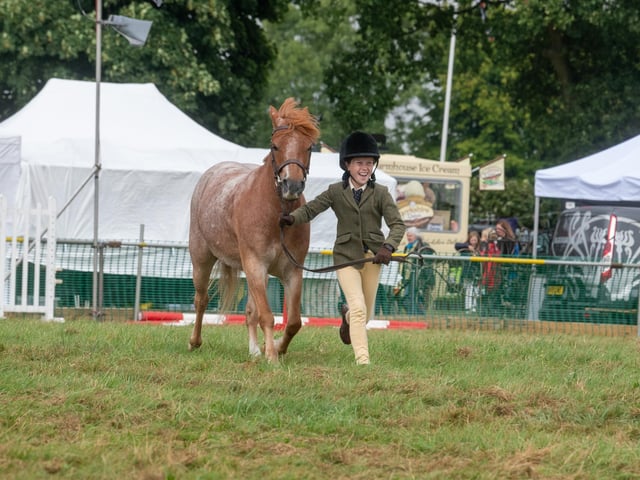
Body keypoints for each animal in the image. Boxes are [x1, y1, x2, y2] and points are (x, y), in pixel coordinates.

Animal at [188, 98, 320, 362]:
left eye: (309, 147)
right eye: (275, 146)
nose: (292, 185)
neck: (277, 216)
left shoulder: (292, 272)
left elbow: (293, 322)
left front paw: (276, 347)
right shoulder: (256, 265)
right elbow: (267, 316)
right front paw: (272, 356)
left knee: (250, 311)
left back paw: (254, 351)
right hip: (202, 260)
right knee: (201, 300)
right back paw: (195, 341)